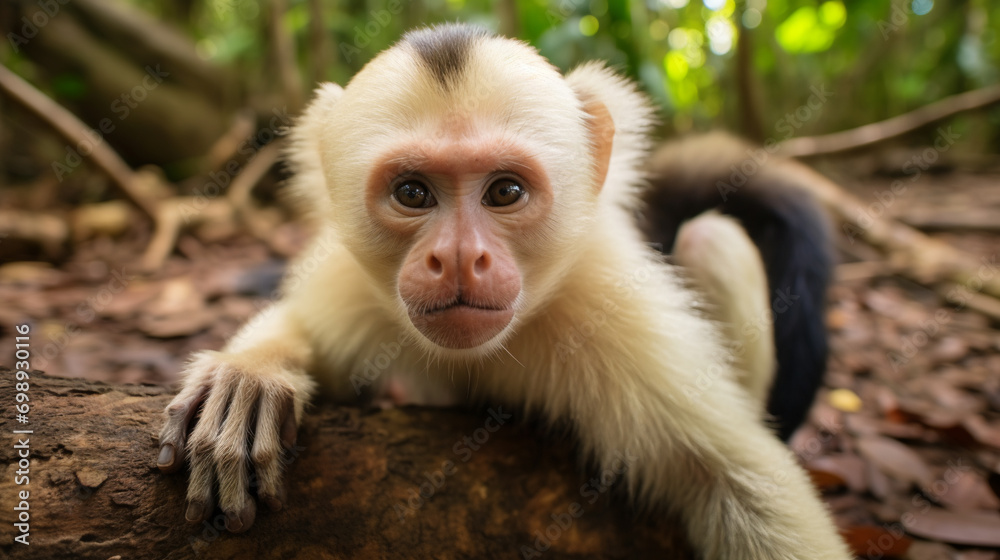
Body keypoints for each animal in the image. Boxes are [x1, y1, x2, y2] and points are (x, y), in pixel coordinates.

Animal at [157, 24, 850, 559]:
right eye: (413, 192)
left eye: (504, 192)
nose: (460, 258)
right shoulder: (349, 289)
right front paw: (250, 378)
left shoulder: (615, 308)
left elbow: (742, 481)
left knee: (713, 237)